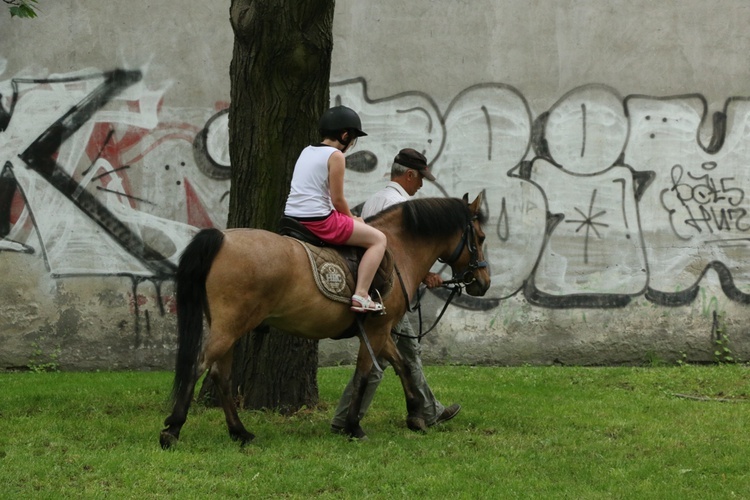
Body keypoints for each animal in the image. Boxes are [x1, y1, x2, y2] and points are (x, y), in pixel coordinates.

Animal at [161, 193, 490, 448]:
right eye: (481, 237)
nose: (483, 282)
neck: (397, 250)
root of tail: (222, 237)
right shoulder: (376, 330)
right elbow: (364, 375)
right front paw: (354, 426)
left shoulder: (381, 331)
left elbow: (403, 366)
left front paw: (415, 416)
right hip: (230, 326)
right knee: (198, 366)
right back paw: (173, 429)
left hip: (228, 328)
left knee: (221, 375)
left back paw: (239, 432)